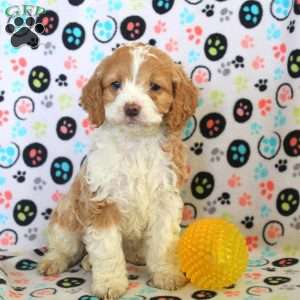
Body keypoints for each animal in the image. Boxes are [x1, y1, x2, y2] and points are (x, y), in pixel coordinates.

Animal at [38, 43, 199, 298]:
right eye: (115, 85)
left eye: (155, 87)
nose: (131, 108)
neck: (135, 142)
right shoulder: (102, 200)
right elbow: (107, 250)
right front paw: (110, 283)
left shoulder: (165, 199)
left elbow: (163, 242)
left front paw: (166, 274)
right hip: (68, 215)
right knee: (64, 245)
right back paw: (55, 260)